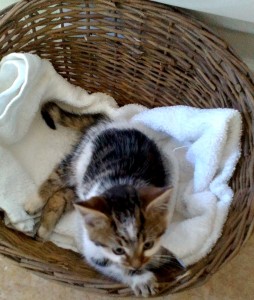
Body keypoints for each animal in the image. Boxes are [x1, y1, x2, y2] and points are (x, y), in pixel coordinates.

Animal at [24, 102, 182, 296]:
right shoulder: (94, 250)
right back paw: (34, 202)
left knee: (62, 195)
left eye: (148, 245)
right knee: (57, 175)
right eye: (119, 249)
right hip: (79, 160)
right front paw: (141, 280)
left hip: (84, 189)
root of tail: (109, 121)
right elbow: (111, 266)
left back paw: (44, 228)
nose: (139, 265)